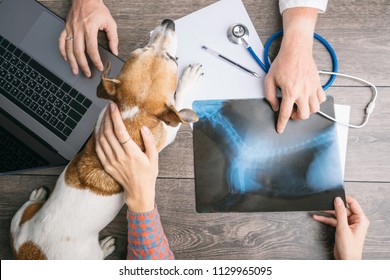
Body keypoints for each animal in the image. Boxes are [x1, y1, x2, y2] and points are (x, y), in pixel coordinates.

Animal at [10, 18, 203, 260]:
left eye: (140, 49)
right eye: (170, 58)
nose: (168, 22)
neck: (134, 113)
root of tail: (30, 251)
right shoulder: (169, 130)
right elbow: (178, 101)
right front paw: (189, 79)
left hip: (20, 223)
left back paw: (36, 196)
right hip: (88, 254)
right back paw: (106, 246)